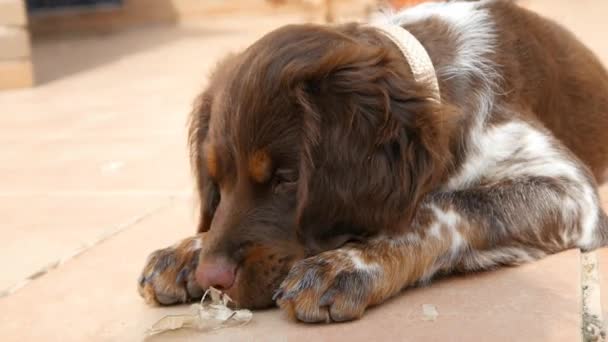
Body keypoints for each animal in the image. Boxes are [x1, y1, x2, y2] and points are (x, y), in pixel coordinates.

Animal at [138, 0, 608, 322]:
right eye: (216, 181)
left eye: (287, 179)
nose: (211, 278)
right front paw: (188, 248)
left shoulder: (571, 192)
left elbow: (444, 207)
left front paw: (349, 263)